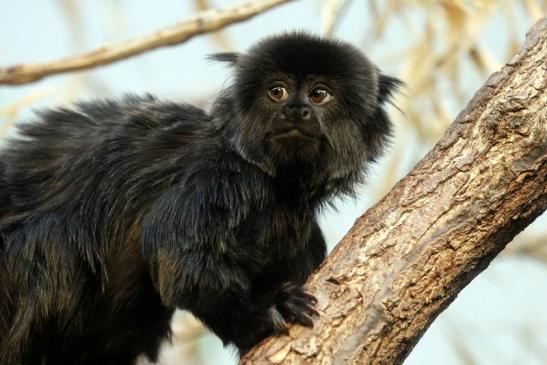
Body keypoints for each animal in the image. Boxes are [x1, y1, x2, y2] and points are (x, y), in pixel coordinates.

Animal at [0, 32, 402, 362]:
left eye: (319, 94)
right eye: (278, 92)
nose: (295, 111)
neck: (276, 186)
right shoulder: (220, 176)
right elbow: (177, 254)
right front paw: (264, 315)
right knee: (59, 242)